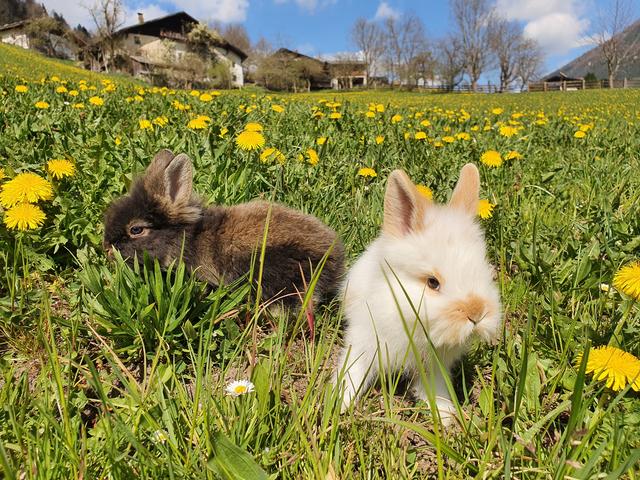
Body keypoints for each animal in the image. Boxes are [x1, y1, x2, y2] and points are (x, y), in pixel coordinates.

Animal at [334, 164, 501, 424]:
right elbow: (353, 372)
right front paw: (337, 405)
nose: (476, 313)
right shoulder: (364, 341)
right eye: (433, 282)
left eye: (485, 271)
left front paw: (446, 416)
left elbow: (436, 388)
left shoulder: (435, 365)